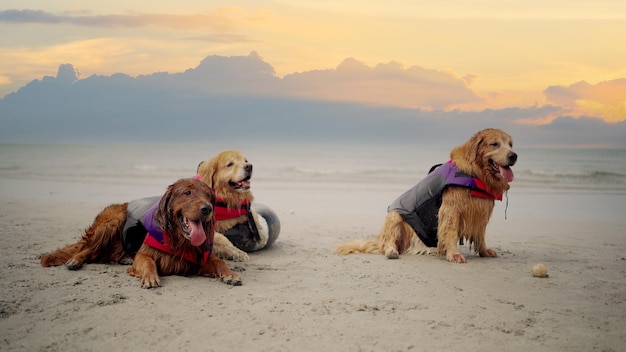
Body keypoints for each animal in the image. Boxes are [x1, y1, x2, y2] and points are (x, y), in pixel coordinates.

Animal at [334, 128, 516, 262]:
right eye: (494, 144)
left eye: (510, 144)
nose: (514, 155)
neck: (475, 172)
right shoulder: (451, 209)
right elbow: (450, 231)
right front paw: (453, 254)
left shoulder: (481, 210)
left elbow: (481, 234)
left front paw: (484, 251)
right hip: (395, 215)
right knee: (389, 242)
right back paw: (392, 251)